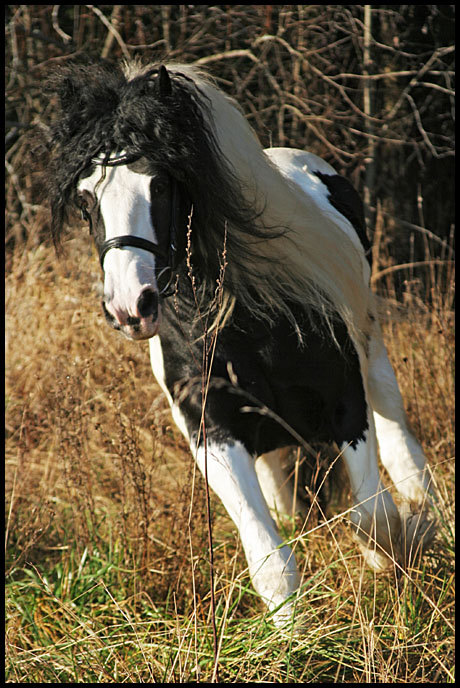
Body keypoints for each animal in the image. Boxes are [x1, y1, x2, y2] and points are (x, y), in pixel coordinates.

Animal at [45, 61, 434, 628]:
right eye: (85, 197)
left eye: (160, 183)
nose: (130, 307)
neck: (243, 322)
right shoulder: (211, 430)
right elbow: (271, 561)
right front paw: (292, 637)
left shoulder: (345, 402)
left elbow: (373, 518)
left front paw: (395, 567)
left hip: (373, 354)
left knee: (399, 441)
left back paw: (425, 505)